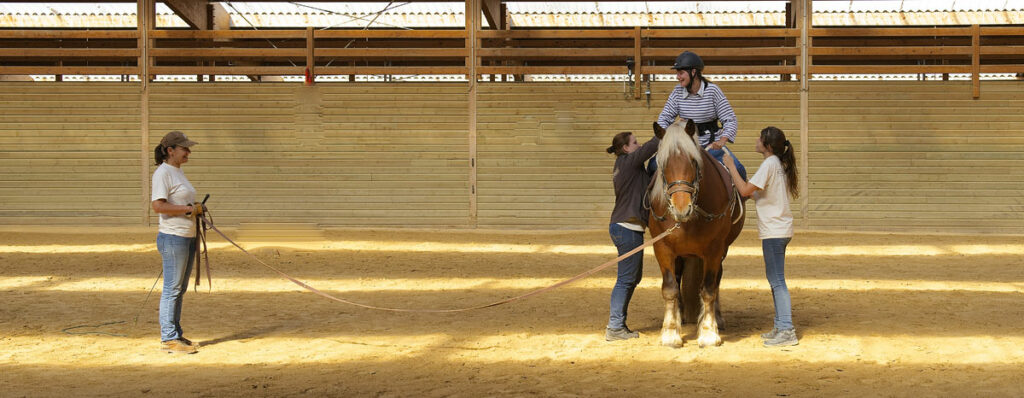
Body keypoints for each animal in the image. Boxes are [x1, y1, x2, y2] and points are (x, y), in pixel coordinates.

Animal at [647, 120, 745, 347]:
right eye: (663, 163)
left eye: (693, 162)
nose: (681, 208)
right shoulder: (662, 248)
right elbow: (670, 288)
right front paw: (670, 332)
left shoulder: (714, 249)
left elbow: (709, 289)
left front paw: (708, 332)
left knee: (717, 281)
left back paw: (717, 318)